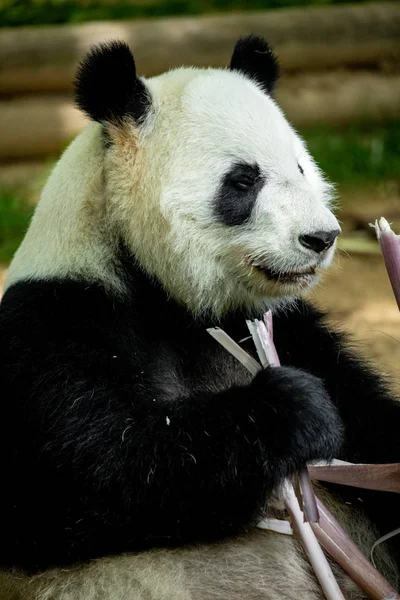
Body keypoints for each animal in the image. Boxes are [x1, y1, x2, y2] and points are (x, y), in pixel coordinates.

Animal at [0, 35, 400, 596]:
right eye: (243, 181)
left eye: (301, 168)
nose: (322, 237)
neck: (170, 302)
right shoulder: (52, 326)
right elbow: (93, 469)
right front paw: (293, 407)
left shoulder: (291, 329)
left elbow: (372, 427)